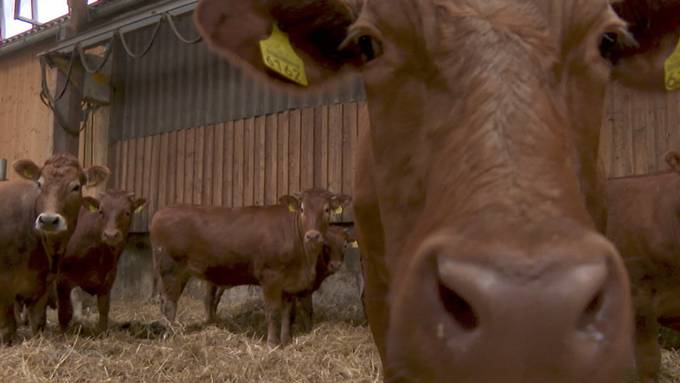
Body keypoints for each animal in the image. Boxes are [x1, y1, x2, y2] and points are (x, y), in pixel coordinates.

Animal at [0, 155, 109, 344]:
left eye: (75, 187)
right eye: (39, 184)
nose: (49, 220)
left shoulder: (44, 284)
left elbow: (38, 323)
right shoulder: (4, 285)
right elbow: (7, 328)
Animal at [56, 190, 147, 334]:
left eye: (127, 212)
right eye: (101, 211)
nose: (110, 235)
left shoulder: (109, 277)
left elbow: (104, 308)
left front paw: (102, 332)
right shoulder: (62, 277)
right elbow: (65, 311)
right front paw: (63, 333)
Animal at [149, 190, 350, 348]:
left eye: (327, 209)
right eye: (302, 209)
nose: (313, 236)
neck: (303, 262)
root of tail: (161, 212)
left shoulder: (289, 284)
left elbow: (287, 313)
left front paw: (285, 341)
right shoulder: (271, 276)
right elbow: (273, 312)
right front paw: (272, 344)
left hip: (180, 273)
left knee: (168, 301)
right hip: (170, 268)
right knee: (169, 304)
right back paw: (170, 336)